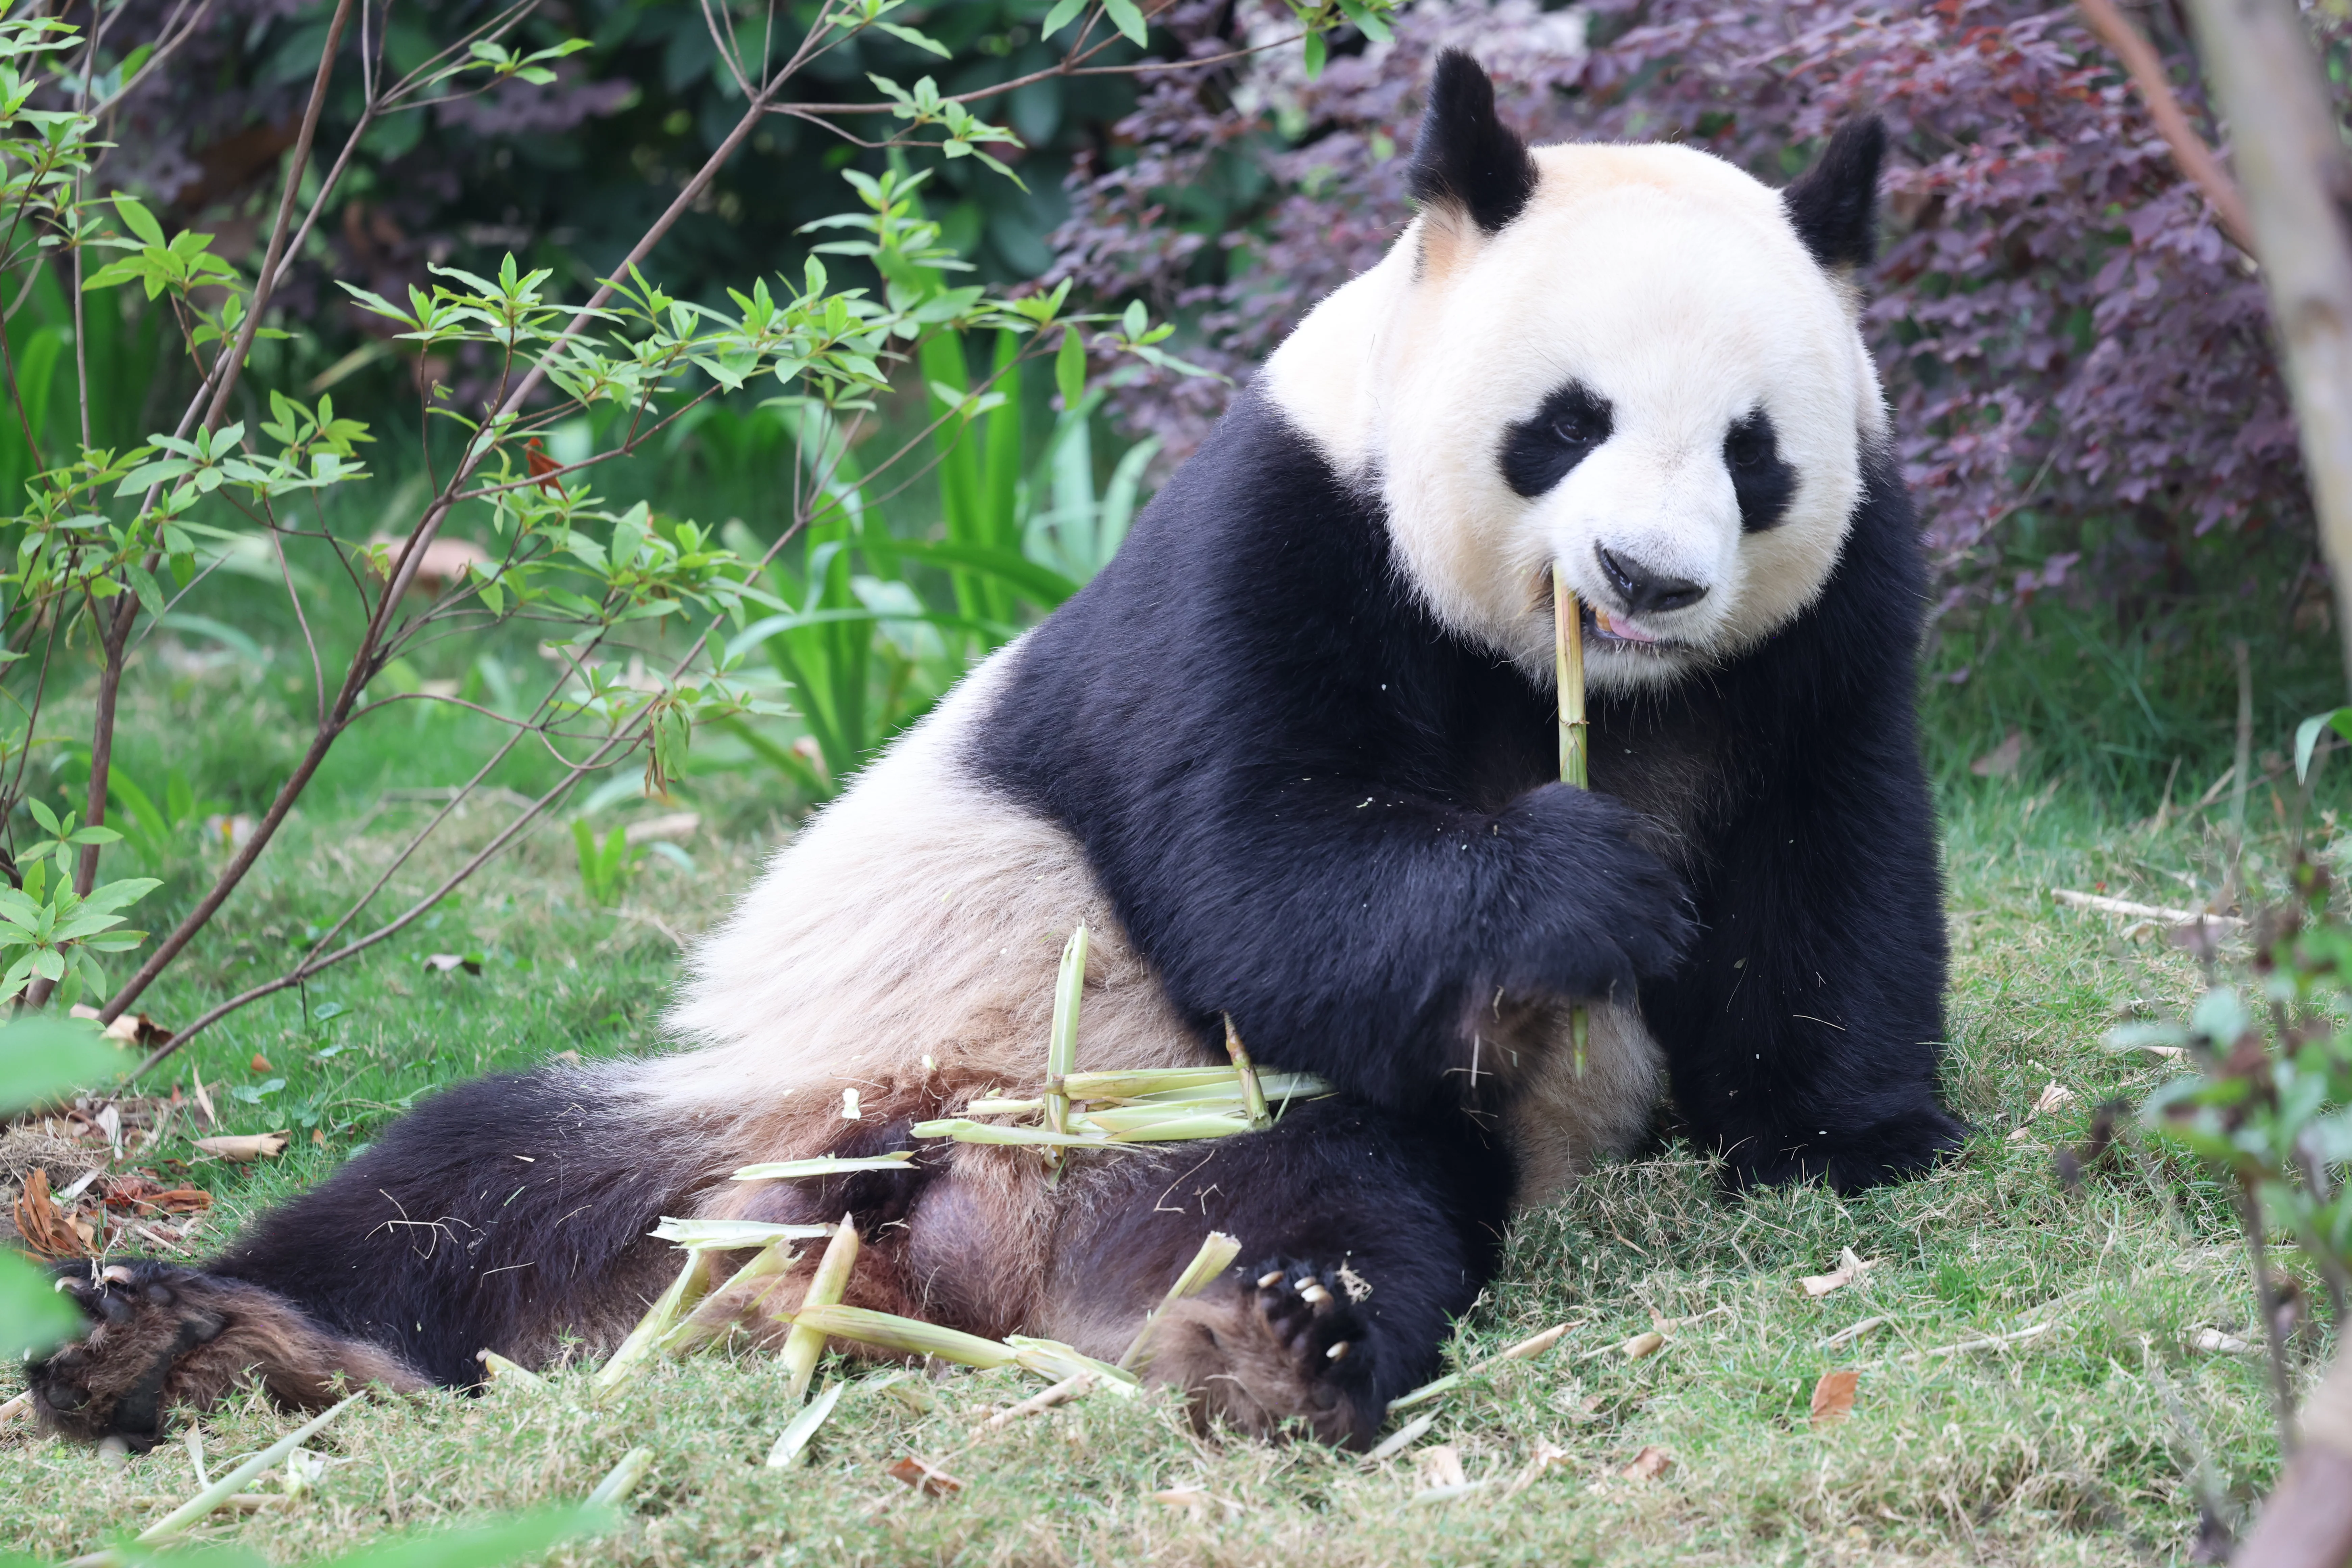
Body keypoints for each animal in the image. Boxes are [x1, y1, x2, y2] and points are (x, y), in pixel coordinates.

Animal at [28, 53, 1962, 1453]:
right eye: (1563, 425)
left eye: (1753, 454)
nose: (1645, 577)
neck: (1591, 685)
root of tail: (946, 1244)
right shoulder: (1278, 535)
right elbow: (1253, 867)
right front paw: (1581, 883)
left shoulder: (1829, 629)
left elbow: (1826, 862)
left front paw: (1848, 1135)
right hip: (765, 1099)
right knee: (459, 1189)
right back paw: (184, 1336)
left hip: (1207, 1134)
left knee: (1343, 1201)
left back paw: (1268, 1341)